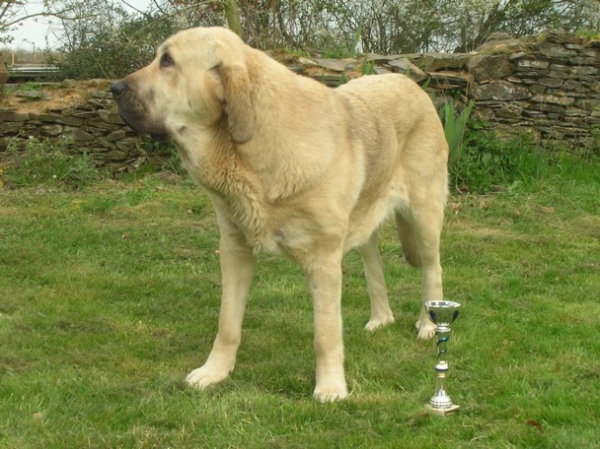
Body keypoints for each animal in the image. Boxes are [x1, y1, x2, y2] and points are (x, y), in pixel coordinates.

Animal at [111, 26, 450, 400]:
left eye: (168, 61)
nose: (114, 88)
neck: (251, 152)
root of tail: (409, 83)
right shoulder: (234, 250)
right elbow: (227, 323)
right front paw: (215, 372)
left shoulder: (323, 261)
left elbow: (325, 334)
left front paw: (330, 386)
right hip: (365, 216)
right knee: (373, 262)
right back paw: (381, 319)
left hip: (424, 215)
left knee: (432, 269)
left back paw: (428, 324)